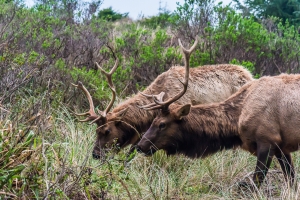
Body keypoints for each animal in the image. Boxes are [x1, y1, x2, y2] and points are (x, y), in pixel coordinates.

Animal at [137, 70, 300, 188]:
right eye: (153, 121)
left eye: (162, 124)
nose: (140, 146)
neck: (237, 121)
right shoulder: (281, 147)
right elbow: (291, 180)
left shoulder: (267, 140)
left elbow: (256, 182)